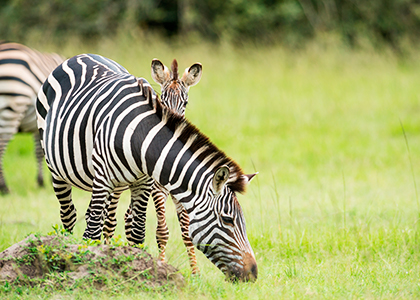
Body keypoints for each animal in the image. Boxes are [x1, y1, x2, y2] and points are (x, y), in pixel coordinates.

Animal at [37, 54, 260, 282]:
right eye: (228, 219)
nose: (253, 273)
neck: (139, 137)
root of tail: (82, 56)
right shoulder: (104, 180)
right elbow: (91, 232)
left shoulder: (143, 182)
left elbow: (137, 233)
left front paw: (137, 273)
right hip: (58, 170)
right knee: (70, 215)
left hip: (114, 185)